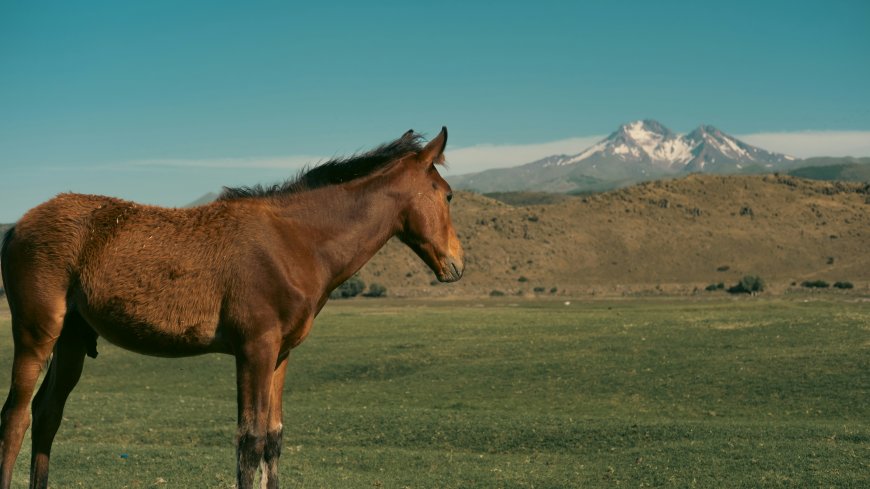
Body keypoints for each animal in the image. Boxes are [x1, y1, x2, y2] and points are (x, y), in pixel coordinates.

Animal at [0, 127, 463, 489]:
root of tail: (18, 225)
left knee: (47, 414)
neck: (295, 242)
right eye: (448, 196)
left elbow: (273, 440)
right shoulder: (254, 350)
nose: (457, 264)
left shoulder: (280, 355)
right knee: (15, 417)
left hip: (72, 341)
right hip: (36, 334)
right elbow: (250, 441)